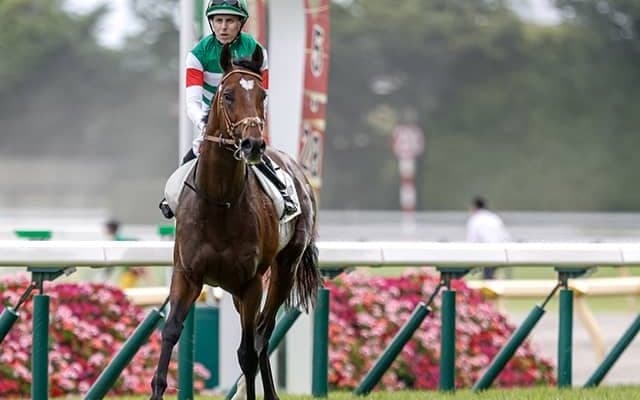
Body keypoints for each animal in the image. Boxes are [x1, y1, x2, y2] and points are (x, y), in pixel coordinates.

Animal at [150, 44, 323, 400]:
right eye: (227, 95)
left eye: (263, 95)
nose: (253, 144)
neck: (220, 201)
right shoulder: (187, 274)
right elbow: (171, 331)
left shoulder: (251, 282)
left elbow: (246, 352)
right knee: (259, 334)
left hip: (284, 268)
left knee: (262, 334)